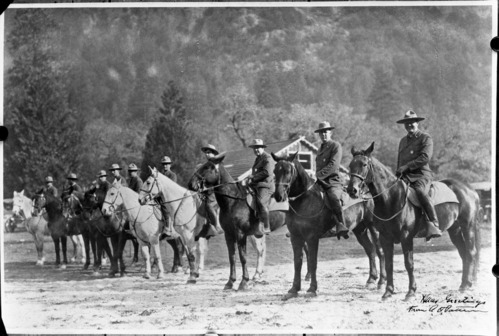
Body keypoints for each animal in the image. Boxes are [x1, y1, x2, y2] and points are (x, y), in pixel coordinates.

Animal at [188, 154, 288, 290]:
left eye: (208, 167)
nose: (190, 184)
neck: (234, 201)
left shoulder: (241, 234)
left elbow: (243, 257)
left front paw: (244, 282)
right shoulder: (228, 234)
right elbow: (232, 257)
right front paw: (230, 282)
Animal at [272, 152, 384, 300]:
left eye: (288, 171)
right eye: (275, 171)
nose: (278, 195)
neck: (304, 200)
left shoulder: (312, 238)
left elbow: (312, 262)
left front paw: (312, 289)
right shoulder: (295, 237)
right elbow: (298, 263)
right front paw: (294, 289)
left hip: (373, 228)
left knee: (379, 251)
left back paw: (381, 282)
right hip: (359, 230)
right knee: (370, 250)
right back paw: (371, 280)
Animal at [346, 143, 482, 300]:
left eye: (364, 164)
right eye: (350, 165)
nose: (352, 190)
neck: (392, 198)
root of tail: (469, 189)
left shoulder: (406, 237)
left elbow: (409, 263)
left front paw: (411, 291)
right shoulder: (385, 238)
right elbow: (389, 264)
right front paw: (388, 291)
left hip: (468, 226)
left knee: (471, 252)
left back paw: (466, 285)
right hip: (455, 230)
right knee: (463, 252)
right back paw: (464, 284)